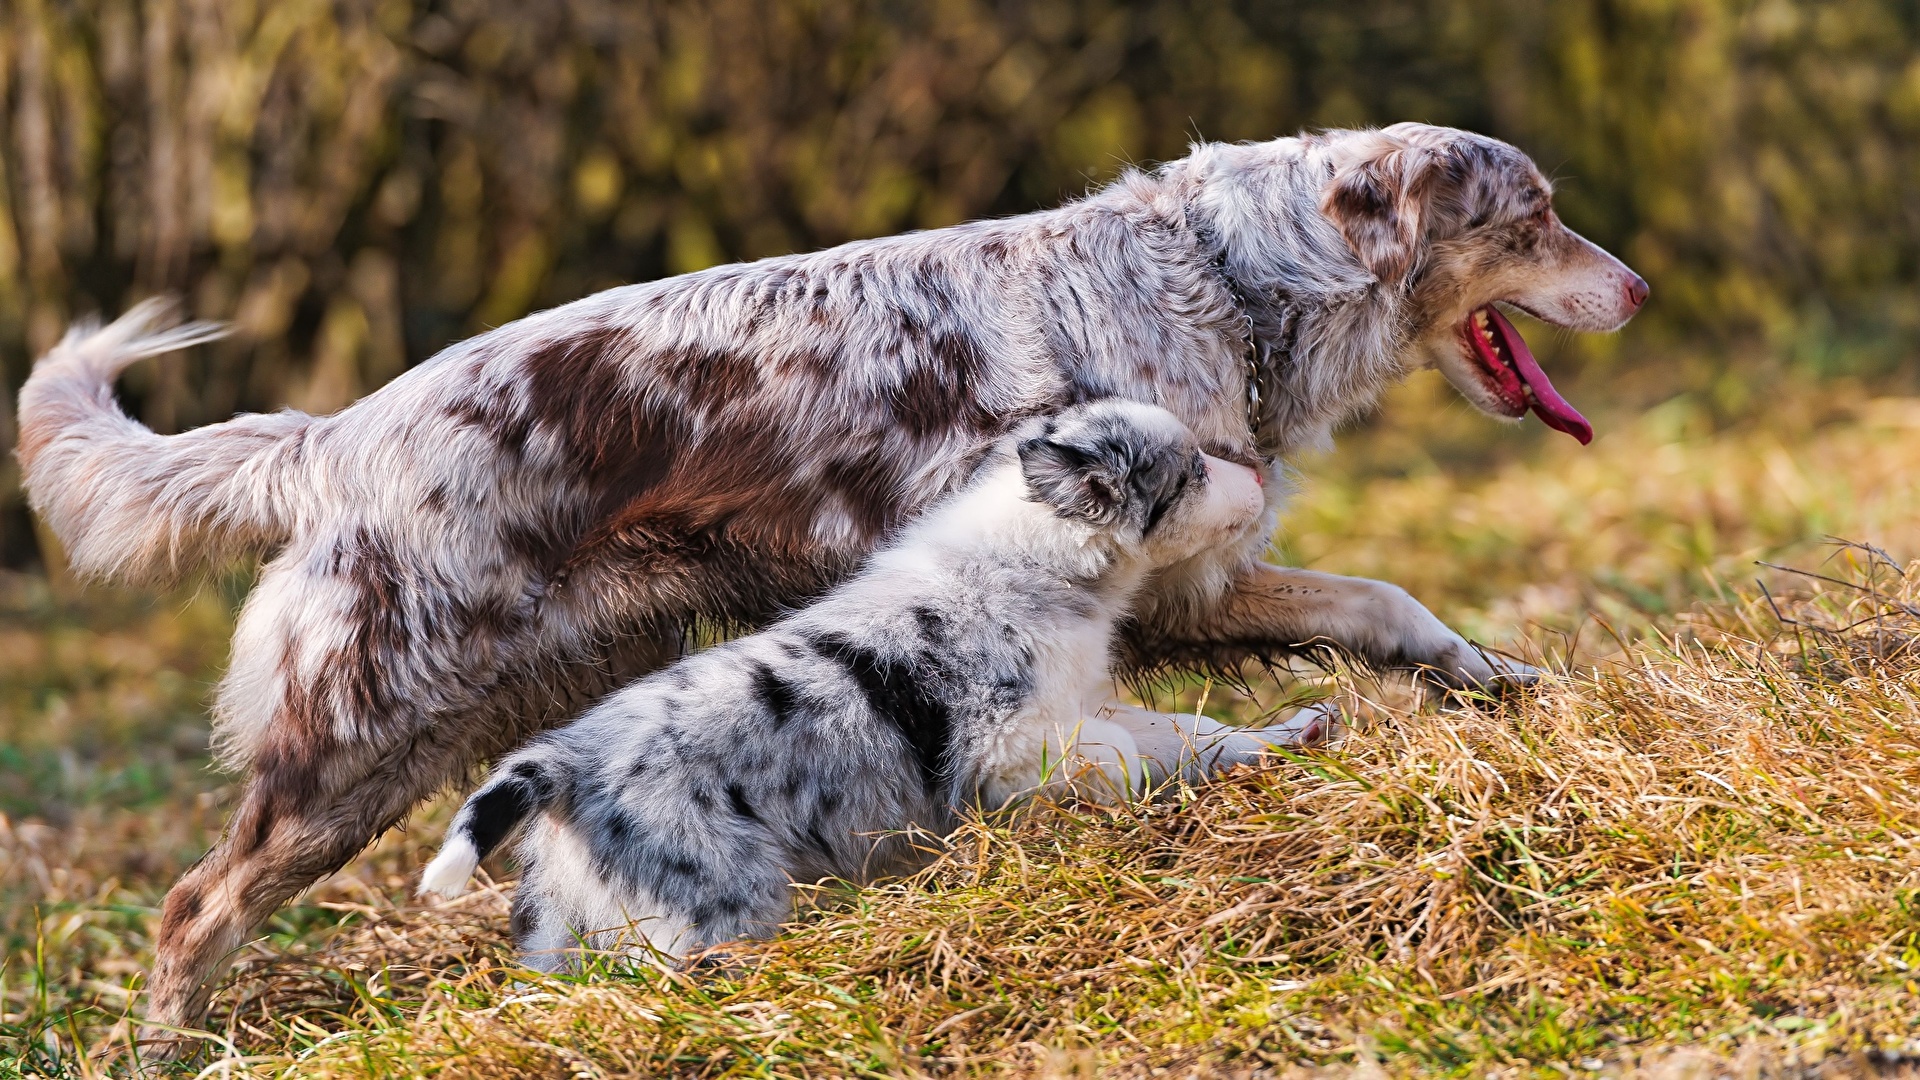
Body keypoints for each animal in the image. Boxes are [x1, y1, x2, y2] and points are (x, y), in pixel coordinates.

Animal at [422, 401, 1313, 957]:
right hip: (709, 904)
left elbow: (1186, 733)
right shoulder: (1009, 744)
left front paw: (1287, 736)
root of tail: (562, 759)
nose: (1260, 476)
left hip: (565, 922)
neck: (1036, 559)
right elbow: (1119, 756)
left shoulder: (1083, 702)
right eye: (1192, 473)